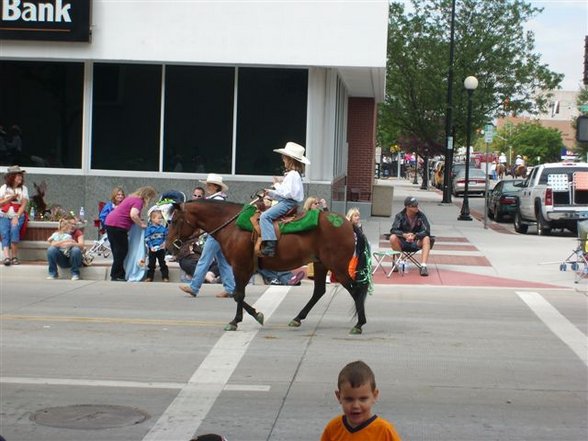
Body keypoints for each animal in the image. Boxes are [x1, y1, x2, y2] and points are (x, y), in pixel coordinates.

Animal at [164, 199, 368, 334]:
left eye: (175, 221)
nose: (168, 246)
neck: (232, 226)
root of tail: (348, 223)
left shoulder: (240, 266)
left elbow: (238, 294)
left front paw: (240, 320)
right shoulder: (244, 267)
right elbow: (238, 294)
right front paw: (251, 316)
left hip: (338, 266)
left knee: (355, 290)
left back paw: (359, 324)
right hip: (320, 264)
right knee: (319, 291)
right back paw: (297, 319)